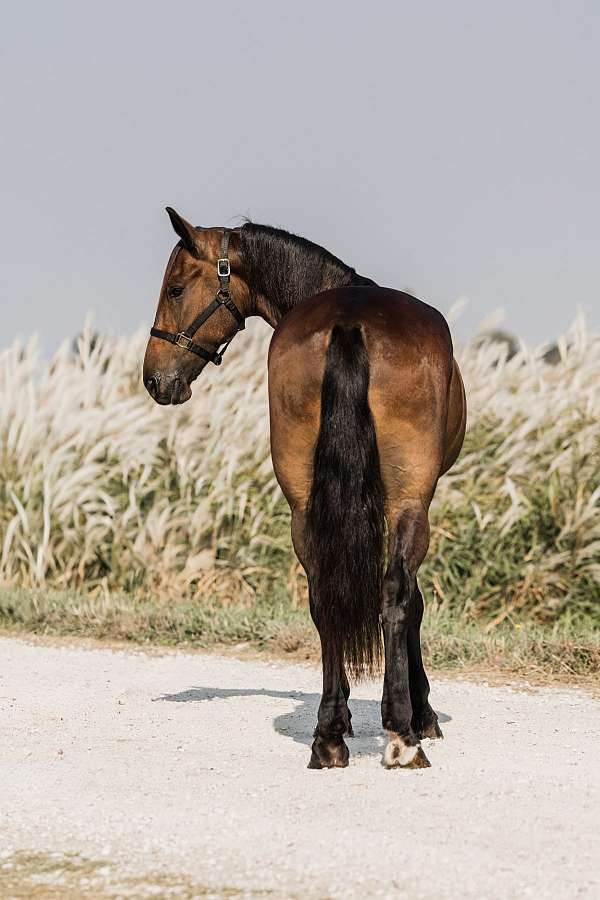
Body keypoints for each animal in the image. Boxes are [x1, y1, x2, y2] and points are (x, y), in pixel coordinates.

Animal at [143, 208, 466, 770]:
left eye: (176, 287)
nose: (153, 379)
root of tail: (350, 323)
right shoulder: (413, 502)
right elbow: (415, 600)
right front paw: (421, 714)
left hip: (303, 504)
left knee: (323, 595)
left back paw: (329, 735)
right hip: (409, 501)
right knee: (395, 593)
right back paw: (401, 737)